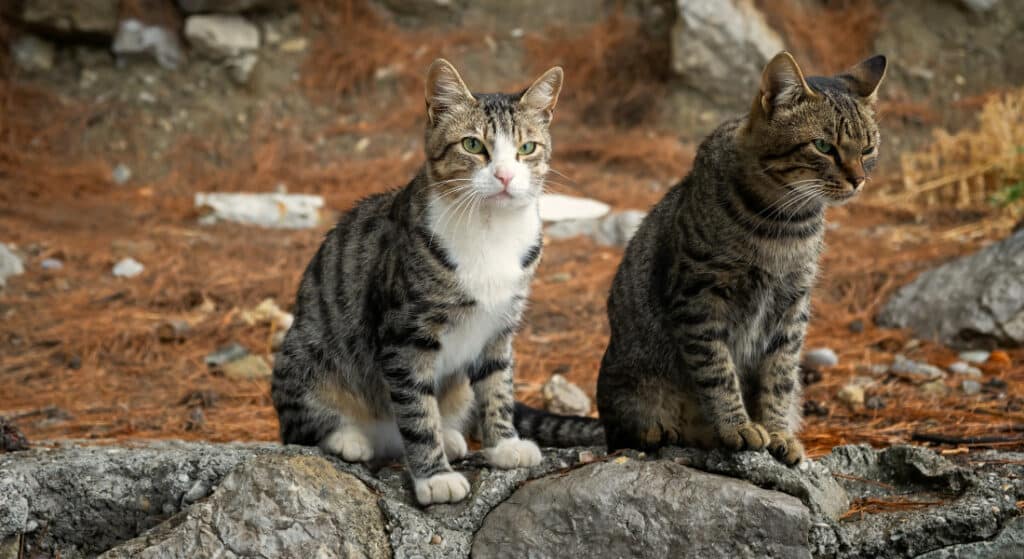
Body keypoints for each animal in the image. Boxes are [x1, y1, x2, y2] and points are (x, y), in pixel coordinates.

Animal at [268, 59, 565, 503]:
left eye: (526, 148)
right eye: (472, 145)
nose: (505, 176)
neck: (490, 229)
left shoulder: (499, 326)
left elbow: (497, 385)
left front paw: (504, 444)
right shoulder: (405, 333)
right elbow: (416, 409)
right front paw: (435, 477)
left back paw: (452, 436)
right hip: (306, 354)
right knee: (300, 425)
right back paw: (348, 438)